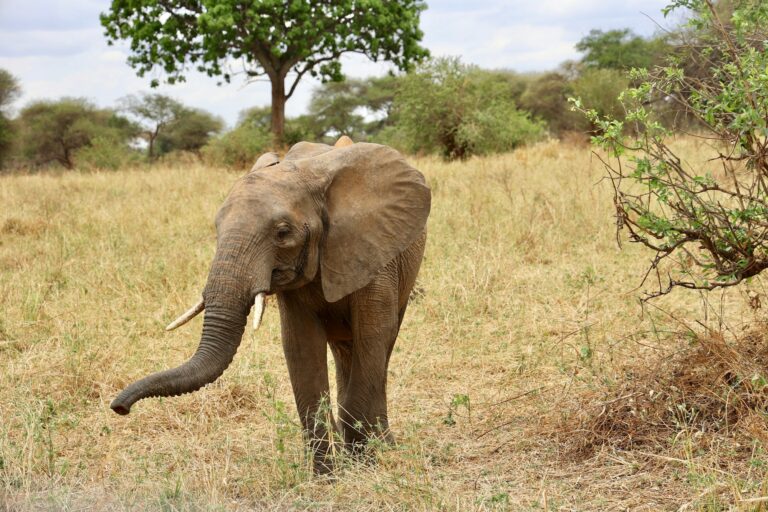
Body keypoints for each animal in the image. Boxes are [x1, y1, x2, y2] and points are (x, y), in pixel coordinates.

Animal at [110, 136, 431, 474]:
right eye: (217, 227)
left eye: (282, 233)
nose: (119, 408)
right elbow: (301, 346)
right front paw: (325, 476)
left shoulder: (374, 254)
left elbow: (372, 336)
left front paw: (361, 468)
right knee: (345, 351)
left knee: (379, 347)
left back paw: (381, 445)